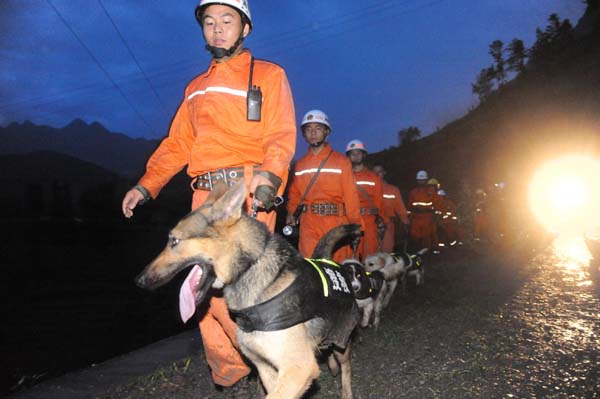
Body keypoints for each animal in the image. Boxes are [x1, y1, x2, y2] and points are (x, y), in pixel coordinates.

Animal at [136, 182, 360, 399]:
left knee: (346, 366)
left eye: (174, 241)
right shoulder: (266, 368)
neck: (249, 267)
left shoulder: (298, 369)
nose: (139, 281)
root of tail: (325, 259)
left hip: (342, 338)